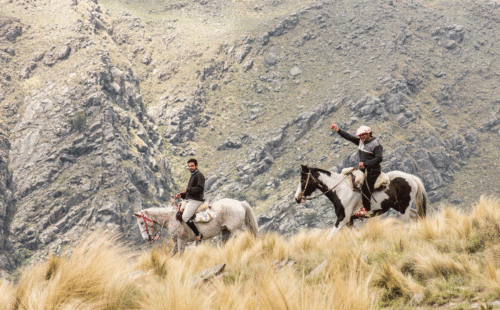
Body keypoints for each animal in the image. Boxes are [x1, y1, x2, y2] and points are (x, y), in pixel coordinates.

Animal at [294, 166, 428, 239]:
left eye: (302, 179)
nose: (297, 198)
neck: (341, 190)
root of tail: (411, 177)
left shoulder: (343, 219)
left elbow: (330, 237)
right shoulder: (349, 221)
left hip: (404, 207)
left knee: (407, 225)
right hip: (399, 206)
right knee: (416, 215)